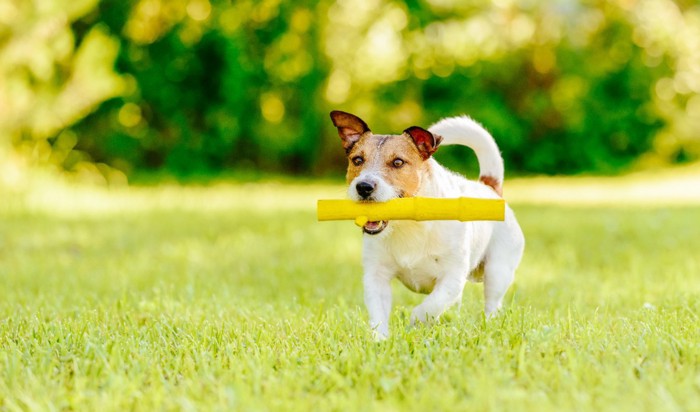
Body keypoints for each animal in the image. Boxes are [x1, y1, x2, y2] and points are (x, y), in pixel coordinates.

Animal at [330, 109, 524, 338]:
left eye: (398, 162)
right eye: (357, 160)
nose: (363, 186)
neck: (408, 226)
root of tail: (490, 189)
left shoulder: (452, 277)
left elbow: (429, 307)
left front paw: (415, 324)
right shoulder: (376, 277)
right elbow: (378, 315)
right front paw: (380, 340)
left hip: (498, 271)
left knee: (492, 303)